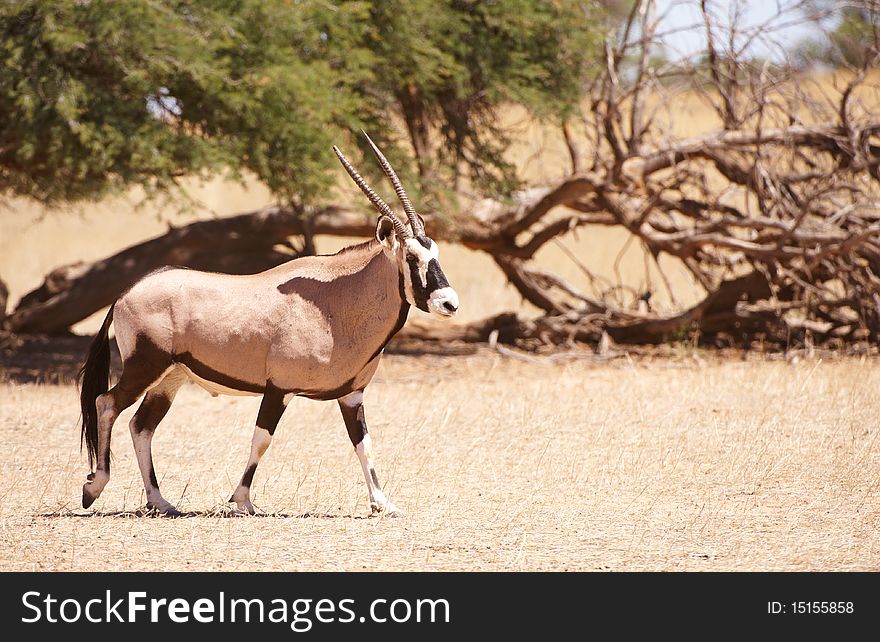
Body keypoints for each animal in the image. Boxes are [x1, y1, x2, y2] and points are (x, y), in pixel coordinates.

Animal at [77, 134, 460, 516]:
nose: (449, 302)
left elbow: (364, 444)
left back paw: (159, 500)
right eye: (411, 257)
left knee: (141, 426)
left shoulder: (351, 395)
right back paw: (94, 487)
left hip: (170, 378)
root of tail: (127, 292)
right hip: (145, 366)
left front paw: (382, 503)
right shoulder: (279, 389)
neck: (338, 299)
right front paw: (242, 500)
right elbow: (261, 440)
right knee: (107, 404)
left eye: (436, 253)